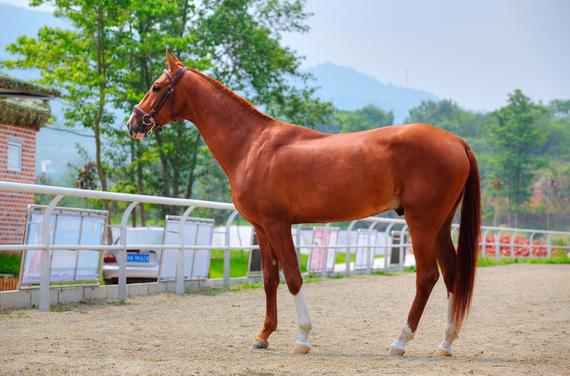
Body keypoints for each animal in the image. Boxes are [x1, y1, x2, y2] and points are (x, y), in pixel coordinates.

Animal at [126, 52, 478, 356]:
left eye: (156, 86)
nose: (133, 123)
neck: (253, 145)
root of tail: (456, 141)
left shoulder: (277, 224)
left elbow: (293, 277)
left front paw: (303, 338)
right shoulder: (261, 228)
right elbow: (270, 279)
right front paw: (263, 336)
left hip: (422, 223)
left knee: (427, 277)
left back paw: (400, 342)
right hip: (440, 225)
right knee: (451, 274)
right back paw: (445, 343)